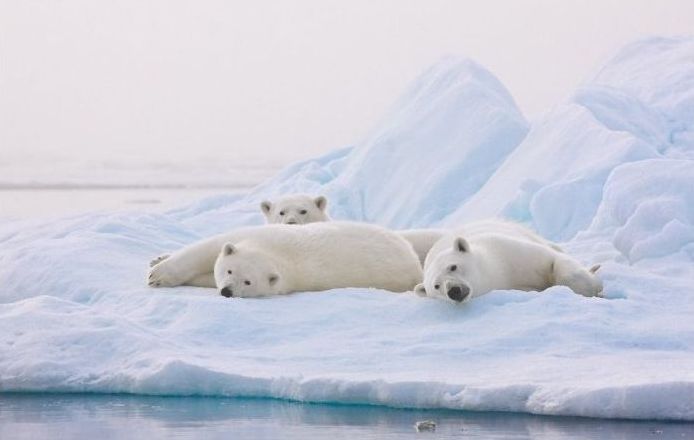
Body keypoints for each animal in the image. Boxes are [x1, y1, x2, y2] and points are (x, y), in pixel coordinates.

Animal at [147, 222, 422, 298]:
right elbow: (205, 249)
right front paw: (157, 270)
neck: (279, 250)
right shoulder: (252, 234)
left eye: (248, 282)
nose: (227, 292)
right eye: (229, 271)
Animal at [414, 220, 604, 302]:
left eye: (453, 266)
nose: (453, 290)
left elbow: (551, 260)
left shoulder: (508, 250)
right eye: (436, 286)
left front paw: (592, 289)